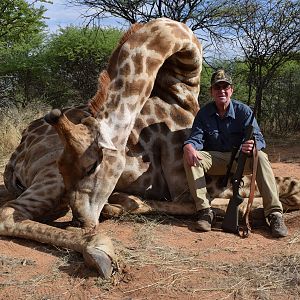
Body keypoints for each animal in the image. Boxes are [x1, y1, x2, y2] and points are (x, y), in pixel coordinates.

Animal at [0, 18, 300, 278]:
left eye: (93, 165)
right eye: (68, 168)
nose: (81, 222)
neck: (183, 89)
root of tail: (15, 156)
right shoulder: (187, 184)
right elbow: (290, 187)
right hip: (50, 182)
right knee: (8, 214)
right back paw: (102, 250)